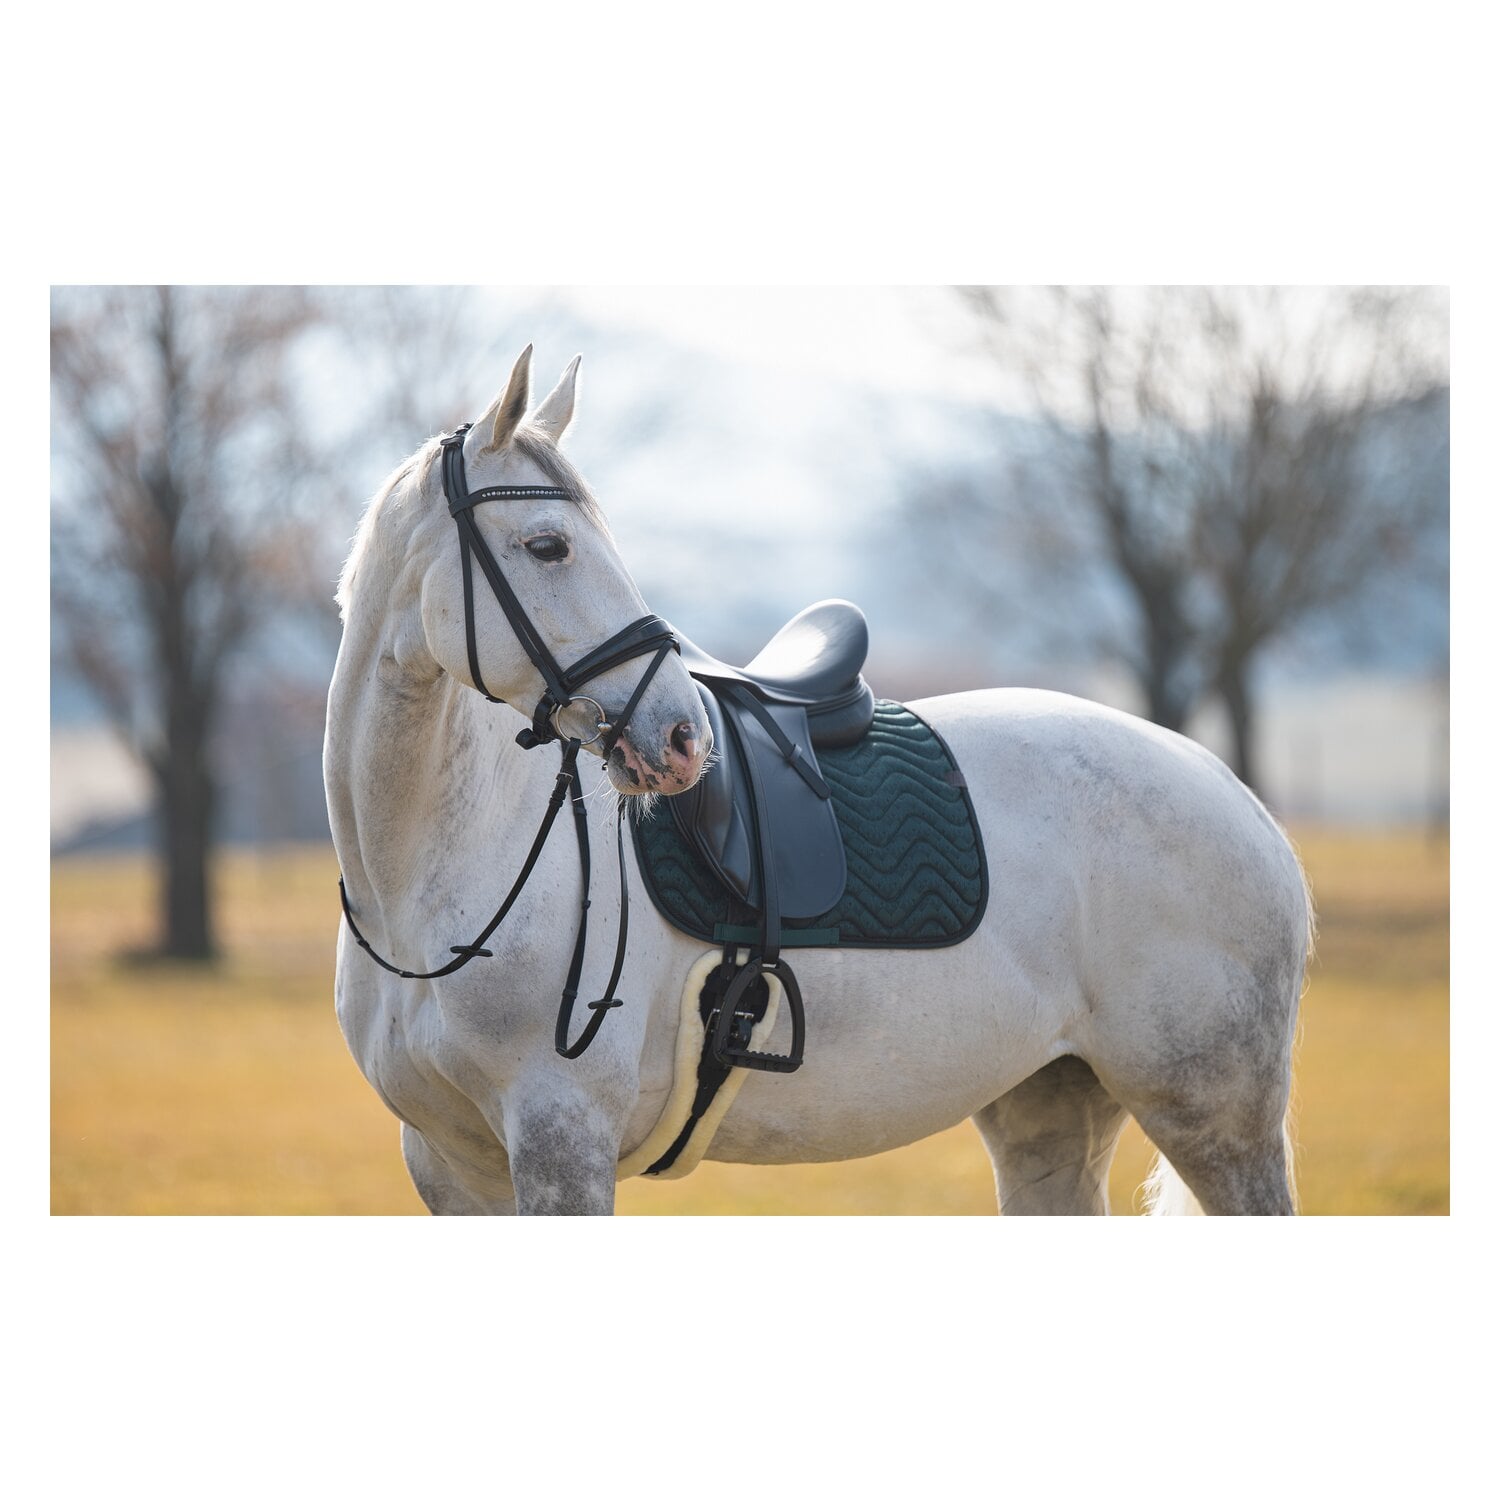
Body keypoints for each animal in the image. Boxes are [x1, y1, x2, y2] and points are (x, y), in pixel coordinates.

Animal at [324, 346, 1312, 1216]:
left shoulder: (562, 1141)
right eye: (547, 546)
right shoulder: (453, 1166)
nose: (682, 737)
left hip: (1217, 1121)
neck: (434, 873)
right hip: (1052, 1108)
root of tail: (1230, 793)